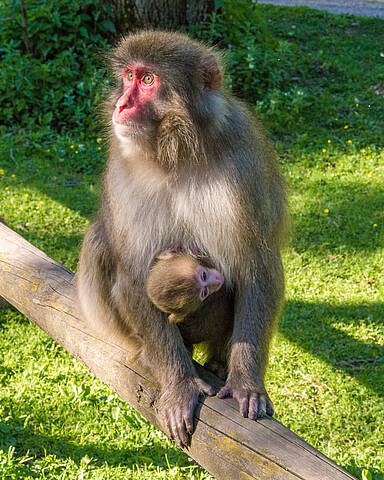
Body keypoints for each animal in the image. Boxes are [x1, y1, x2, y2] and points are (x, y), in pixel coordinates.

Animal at [76, 31, 286, 448]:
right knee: (99, 242)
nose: (122, 104)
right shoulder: (124, 168)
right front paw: (179, 385)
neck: (178, 151)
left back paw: (221, 362)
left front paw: (246, 381)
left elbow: (257, 266)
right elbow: (134, 275)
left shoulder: (245, 160)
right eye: (127, 76)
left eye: (148, 80)